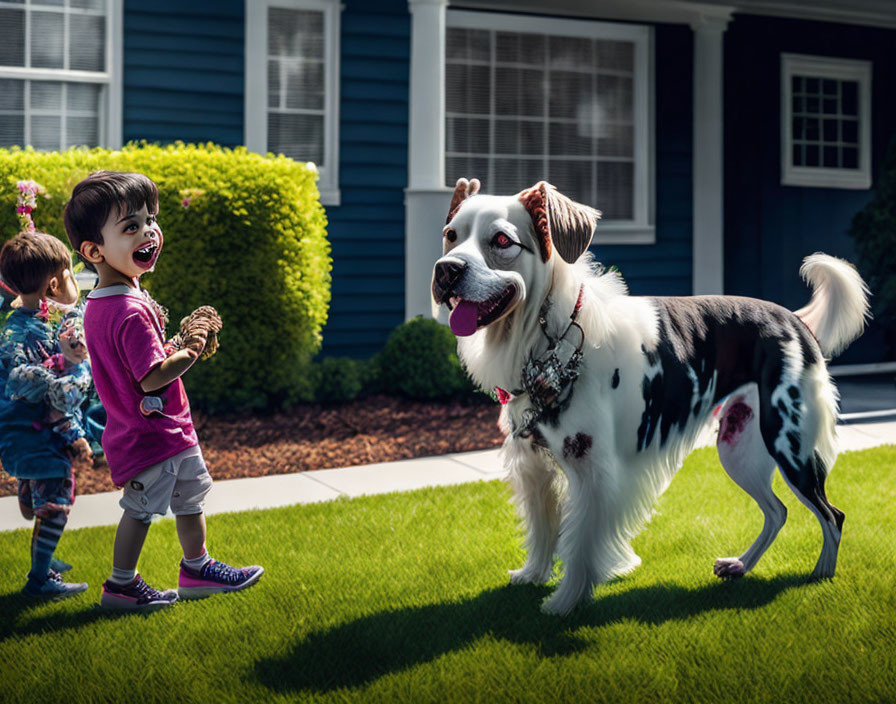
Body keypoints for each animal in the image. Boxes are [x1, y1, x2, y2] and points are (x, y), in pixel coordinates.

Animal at [430, 179, 872, 612]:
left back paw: (822, 573)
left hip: (789, 445)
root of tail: (794, 320)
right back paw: (742, 565)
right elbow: (543, 530)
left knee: (832, 515)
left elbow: (578, 545)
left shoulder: (592, 471)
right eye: (450, 236)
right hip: (739, 449)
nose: (446, 270)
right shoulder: (534, 466)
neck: (552, 340)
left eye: (502, 240)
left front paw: (565, 603)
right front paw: (534, 575)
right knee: (778, 511)